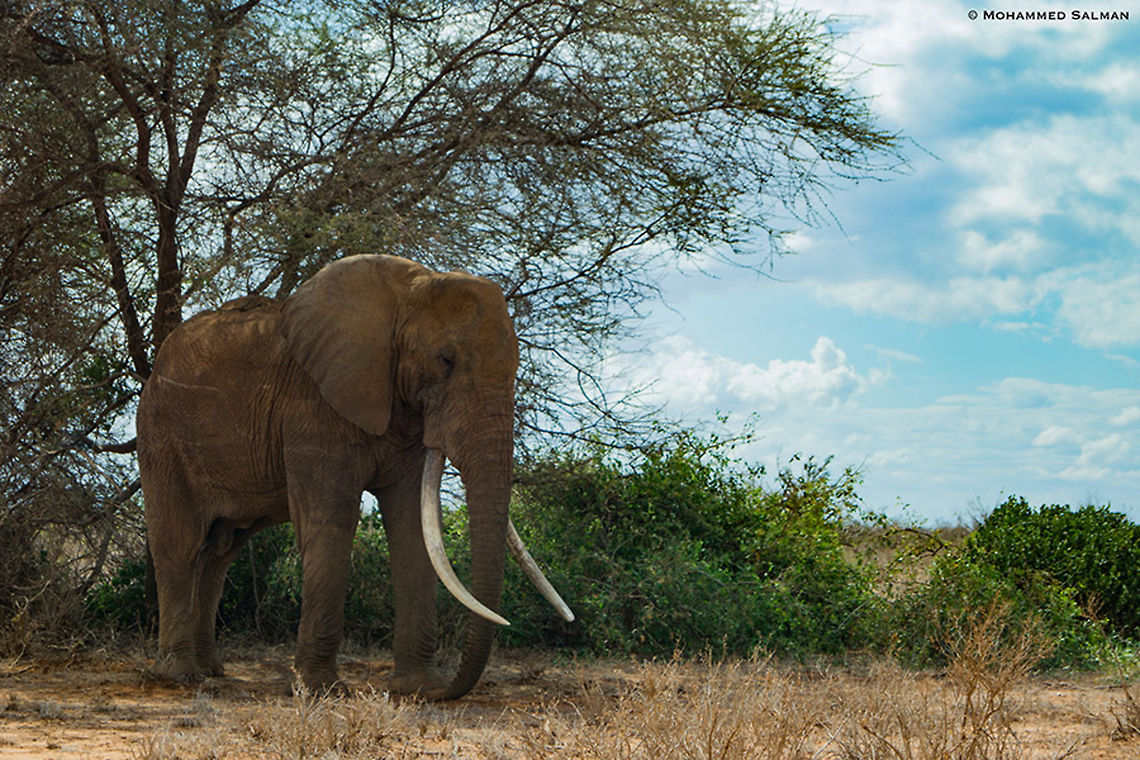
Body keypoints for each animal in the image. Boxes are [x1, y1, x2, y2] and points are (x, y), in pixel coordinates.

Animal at [136, 254, 572, 700]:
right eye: (446, 360)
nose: (442, 692)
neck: (410, 291)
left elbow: (412, 529)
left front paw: (416, 687)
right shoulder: (313, 405)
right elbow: (331, 525)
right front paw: (320, 690)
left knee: (221, 553)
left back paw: (211, 670)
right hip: (161, 435)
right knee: (180, 545)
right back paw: (181, 675)